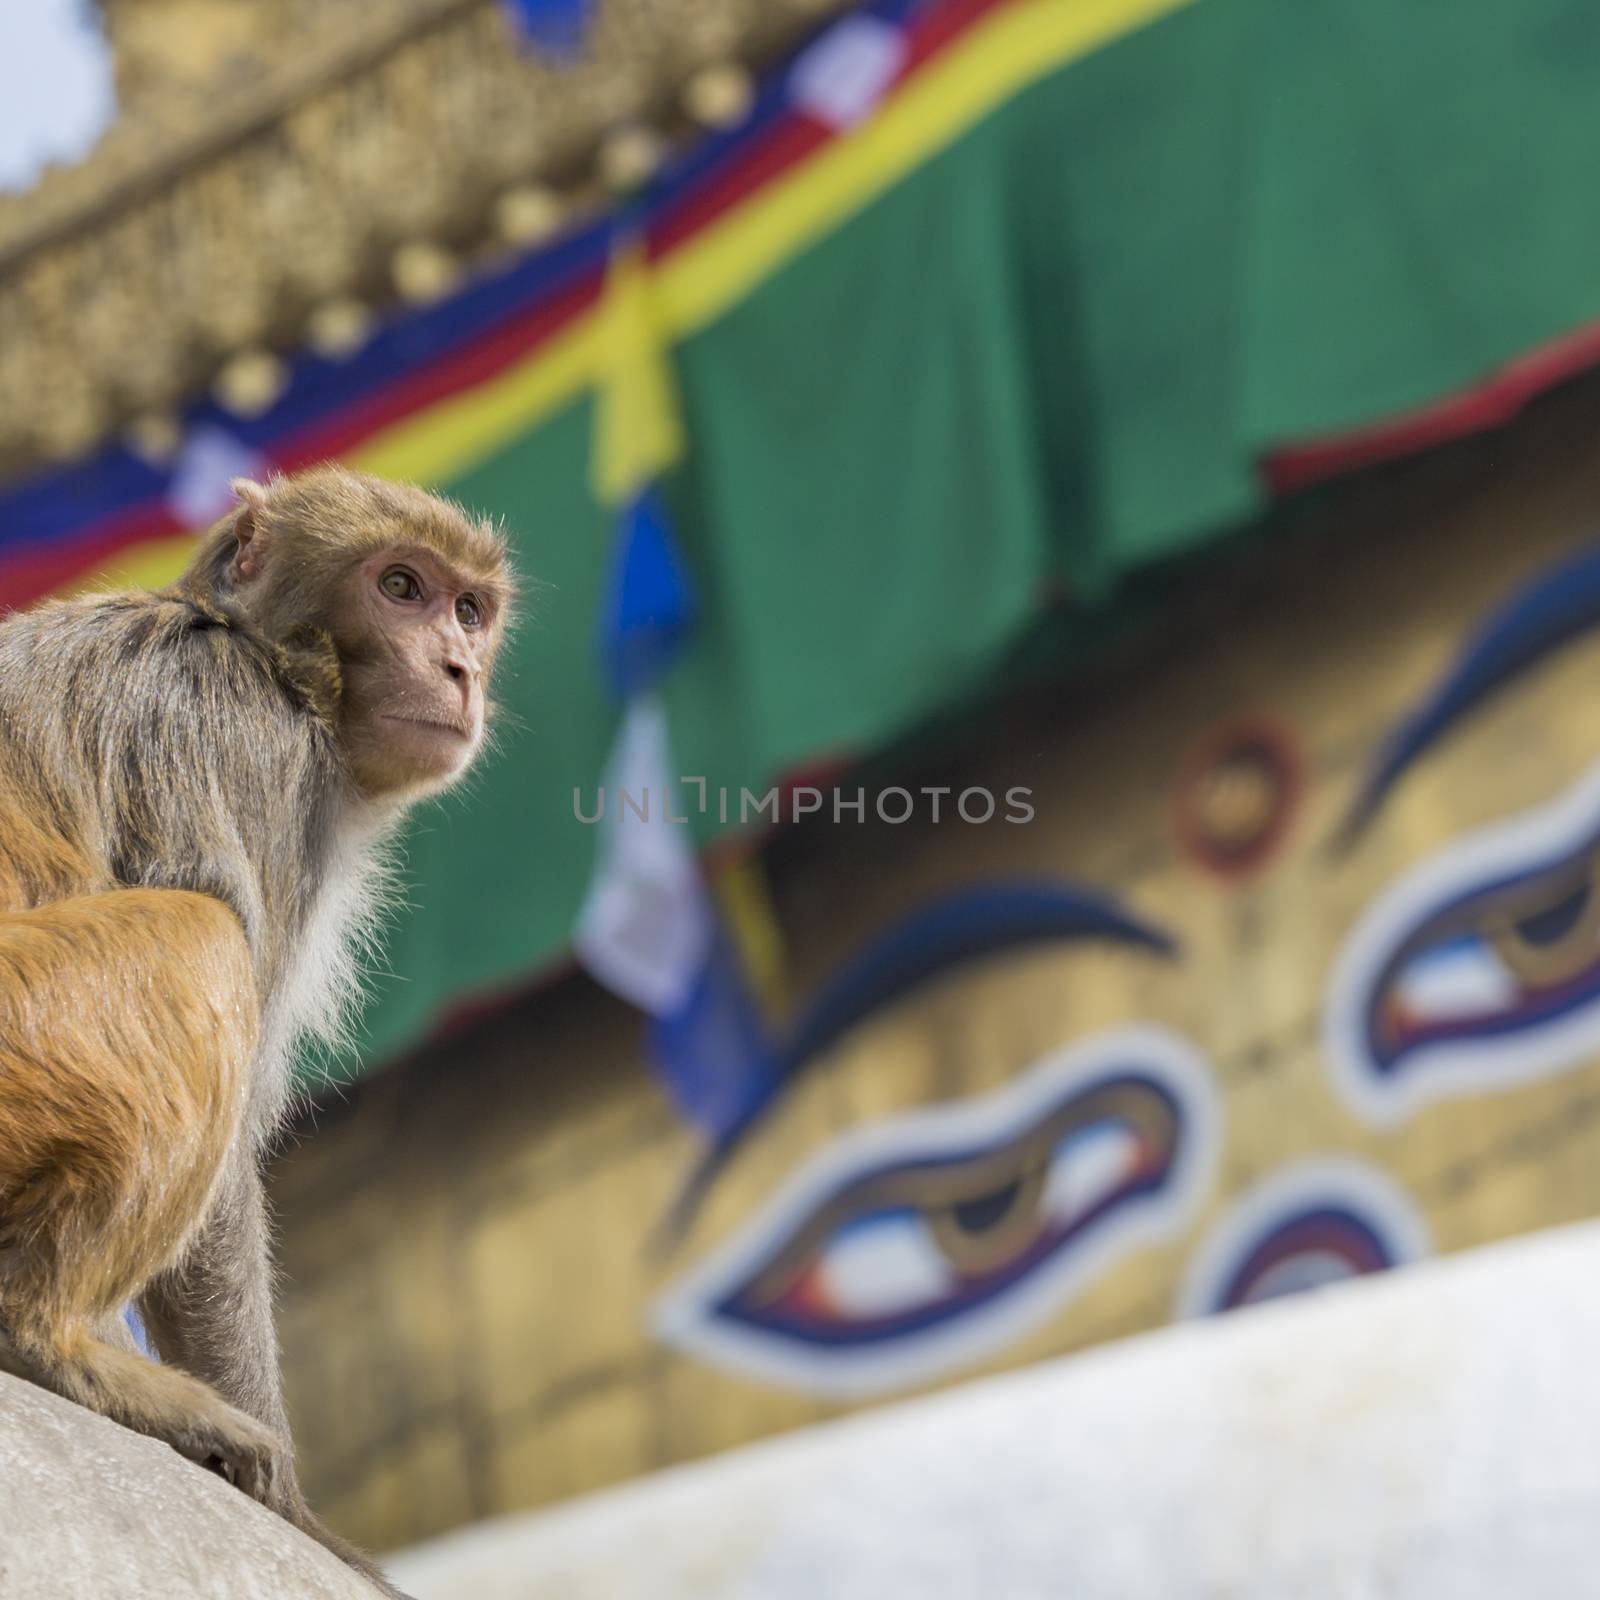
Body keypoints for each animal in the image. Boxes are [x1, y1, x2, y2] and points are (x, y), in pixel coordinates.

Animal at [0, 464, 512, 1587]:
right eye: (399, 587)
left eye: (467, 610)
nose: (458, 667)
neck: (273, 658)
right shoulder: (242, 746)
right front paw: (294, 1516)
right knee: (203, 937)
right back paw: (42, 1338)